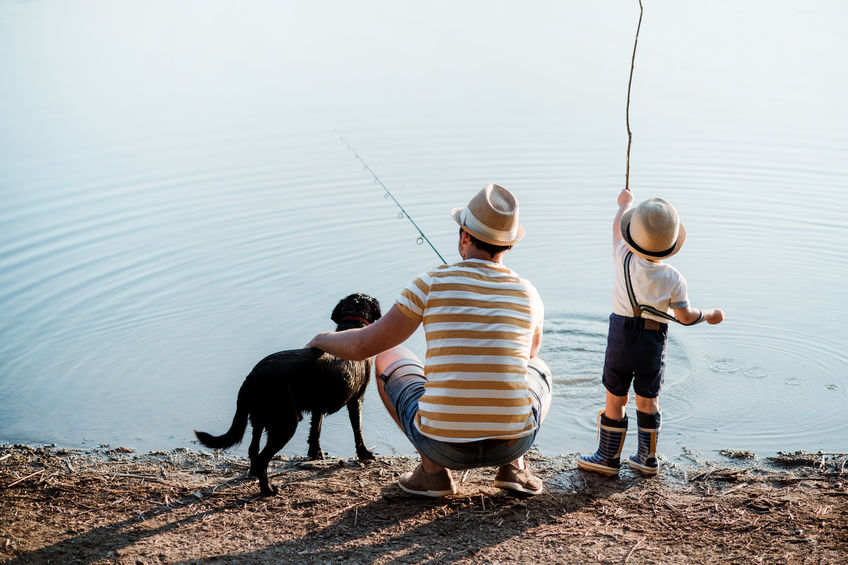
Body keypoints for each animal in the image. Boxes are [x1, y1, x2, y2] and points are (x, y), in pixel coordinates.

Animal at [195, 294, 380, 496]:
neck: (352, 326)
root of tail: (253, 376)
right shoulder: (356, 399)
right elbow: (358, 430)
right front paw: (365, 454)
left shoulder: (317, 405)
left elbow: (315, 430)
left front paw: (315, 454)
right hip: (286, 423)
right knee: (262, 459)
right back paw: (267, 490)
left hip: (260, 419)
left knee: (253, 451)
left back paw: (255, 477)